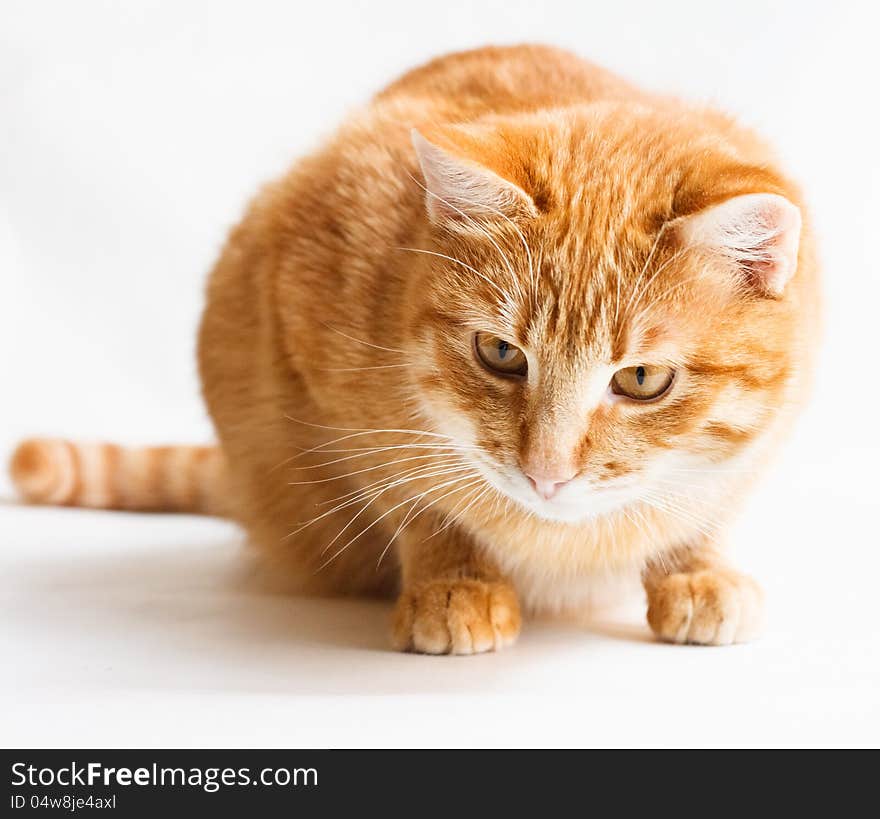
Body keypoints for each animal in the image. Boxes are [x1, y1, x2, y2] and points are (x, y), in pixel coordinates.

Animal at [8, 48, 820, 656]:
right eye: (500, 353)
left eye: (643, 379)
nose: (546, 474)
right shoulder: (323, 360)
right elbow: (414, 494)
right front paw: (454, 578)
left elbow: (710, 505)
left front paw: (696, 568)